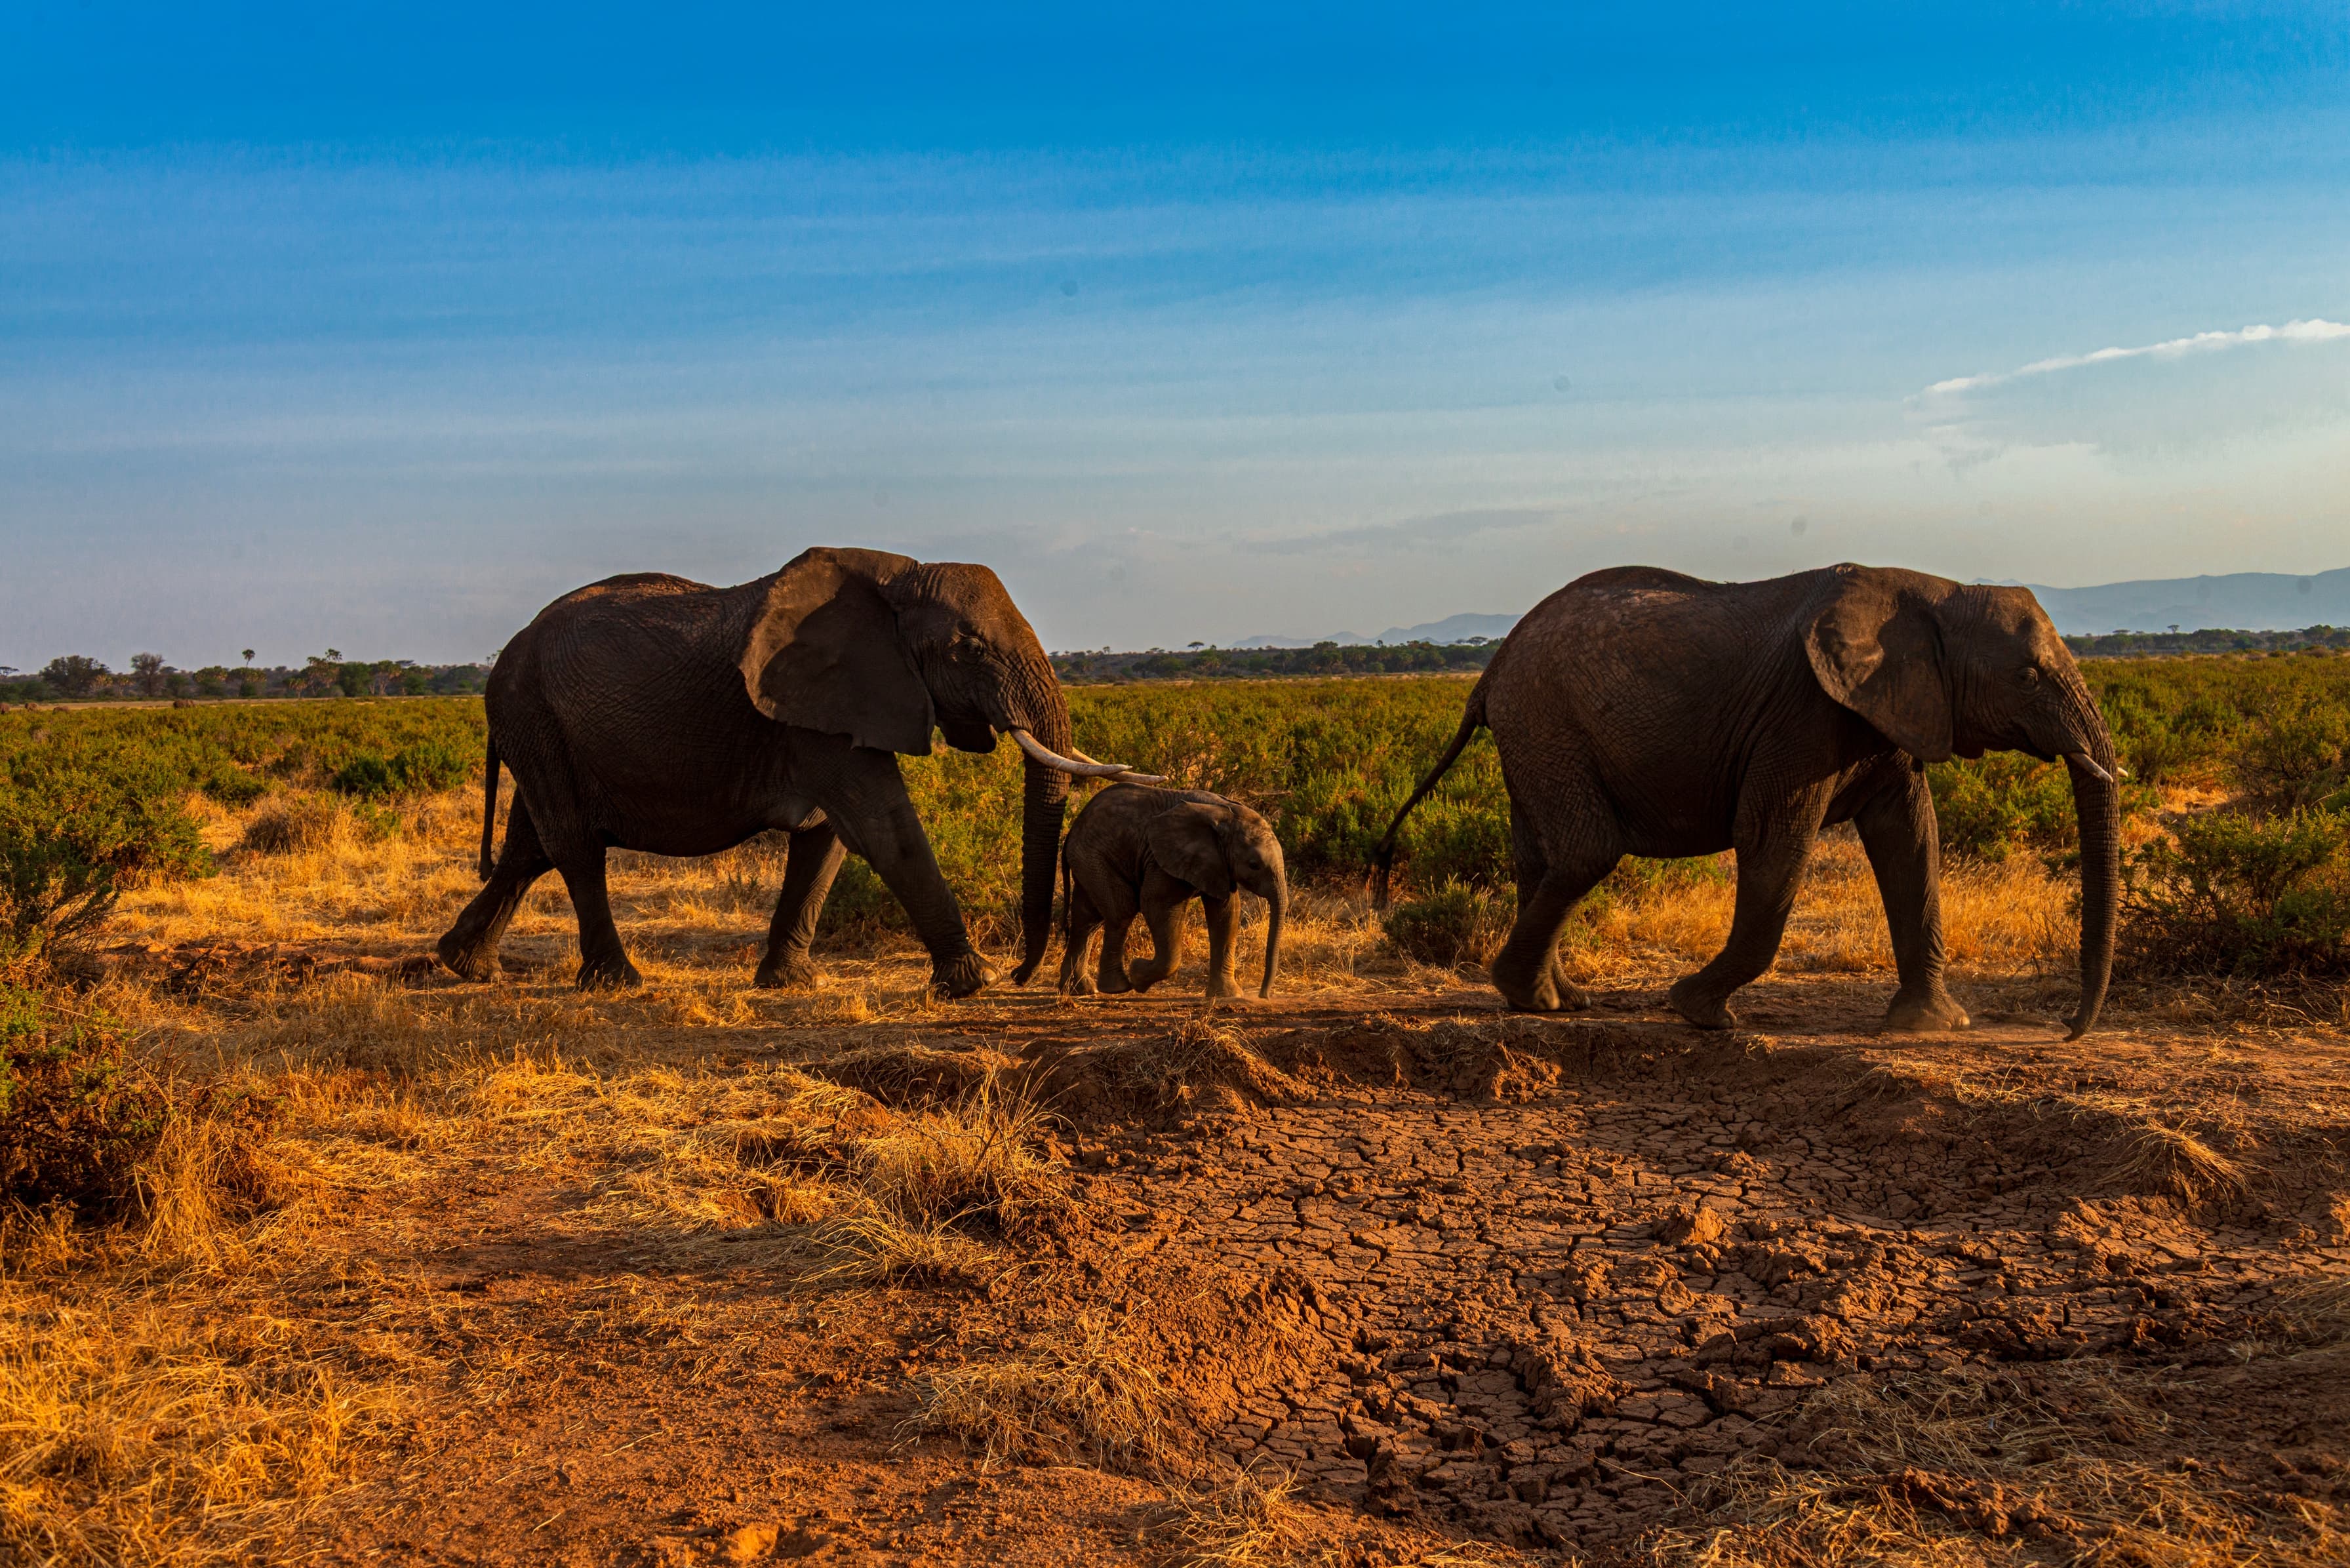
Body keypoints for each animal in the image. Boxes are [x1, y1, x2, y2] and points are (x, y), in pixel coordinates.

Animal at [435, 546, 1157, 993]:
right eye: (968, 649)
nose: (1020, 975)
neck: (899, 575)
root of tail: (510, 649)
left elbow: (826, 838)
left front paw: (788, 983)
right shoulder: (813, 709)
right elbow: (882, 827)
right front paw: (968, 983)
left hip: (542, 727)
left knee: (529, 847)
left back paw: (464, 966)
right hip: (532, 713)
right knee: (573, 846)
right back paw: (617, 981)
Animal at [1057, 784, 1288, 999]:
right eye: (1254, 865)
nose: (1264, 995)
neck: (1226, 815)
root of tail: (1073, 828)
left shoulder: (1218, 863)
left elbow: (1227, 913)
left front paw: (1227, 996)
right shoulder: (1162, 859)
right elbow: (1157, 904)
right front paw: (1138, 974)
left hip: (1089, 860)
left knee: (1088, 918)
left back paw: (1078, 990)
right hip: (1095, 856)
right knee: (1121, 910)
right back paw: (1116, 987)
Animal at [1372, 563, 2120, 1037]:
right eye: (2026, 676)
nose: (2066, 1030)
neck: (1935, 591)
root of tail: (1491, 668)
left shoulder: (1890, 711)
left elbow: (1912, 839)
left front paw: (1931, 1026)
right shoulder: (1801, 715)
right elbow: (1773, 839)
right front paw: (1697, 1012)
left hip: (1533, 735)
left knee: (1541, 857)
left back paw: (1551, 1003)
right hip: (1545, 722)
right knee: (1586, 851)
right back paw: (1530, 995)